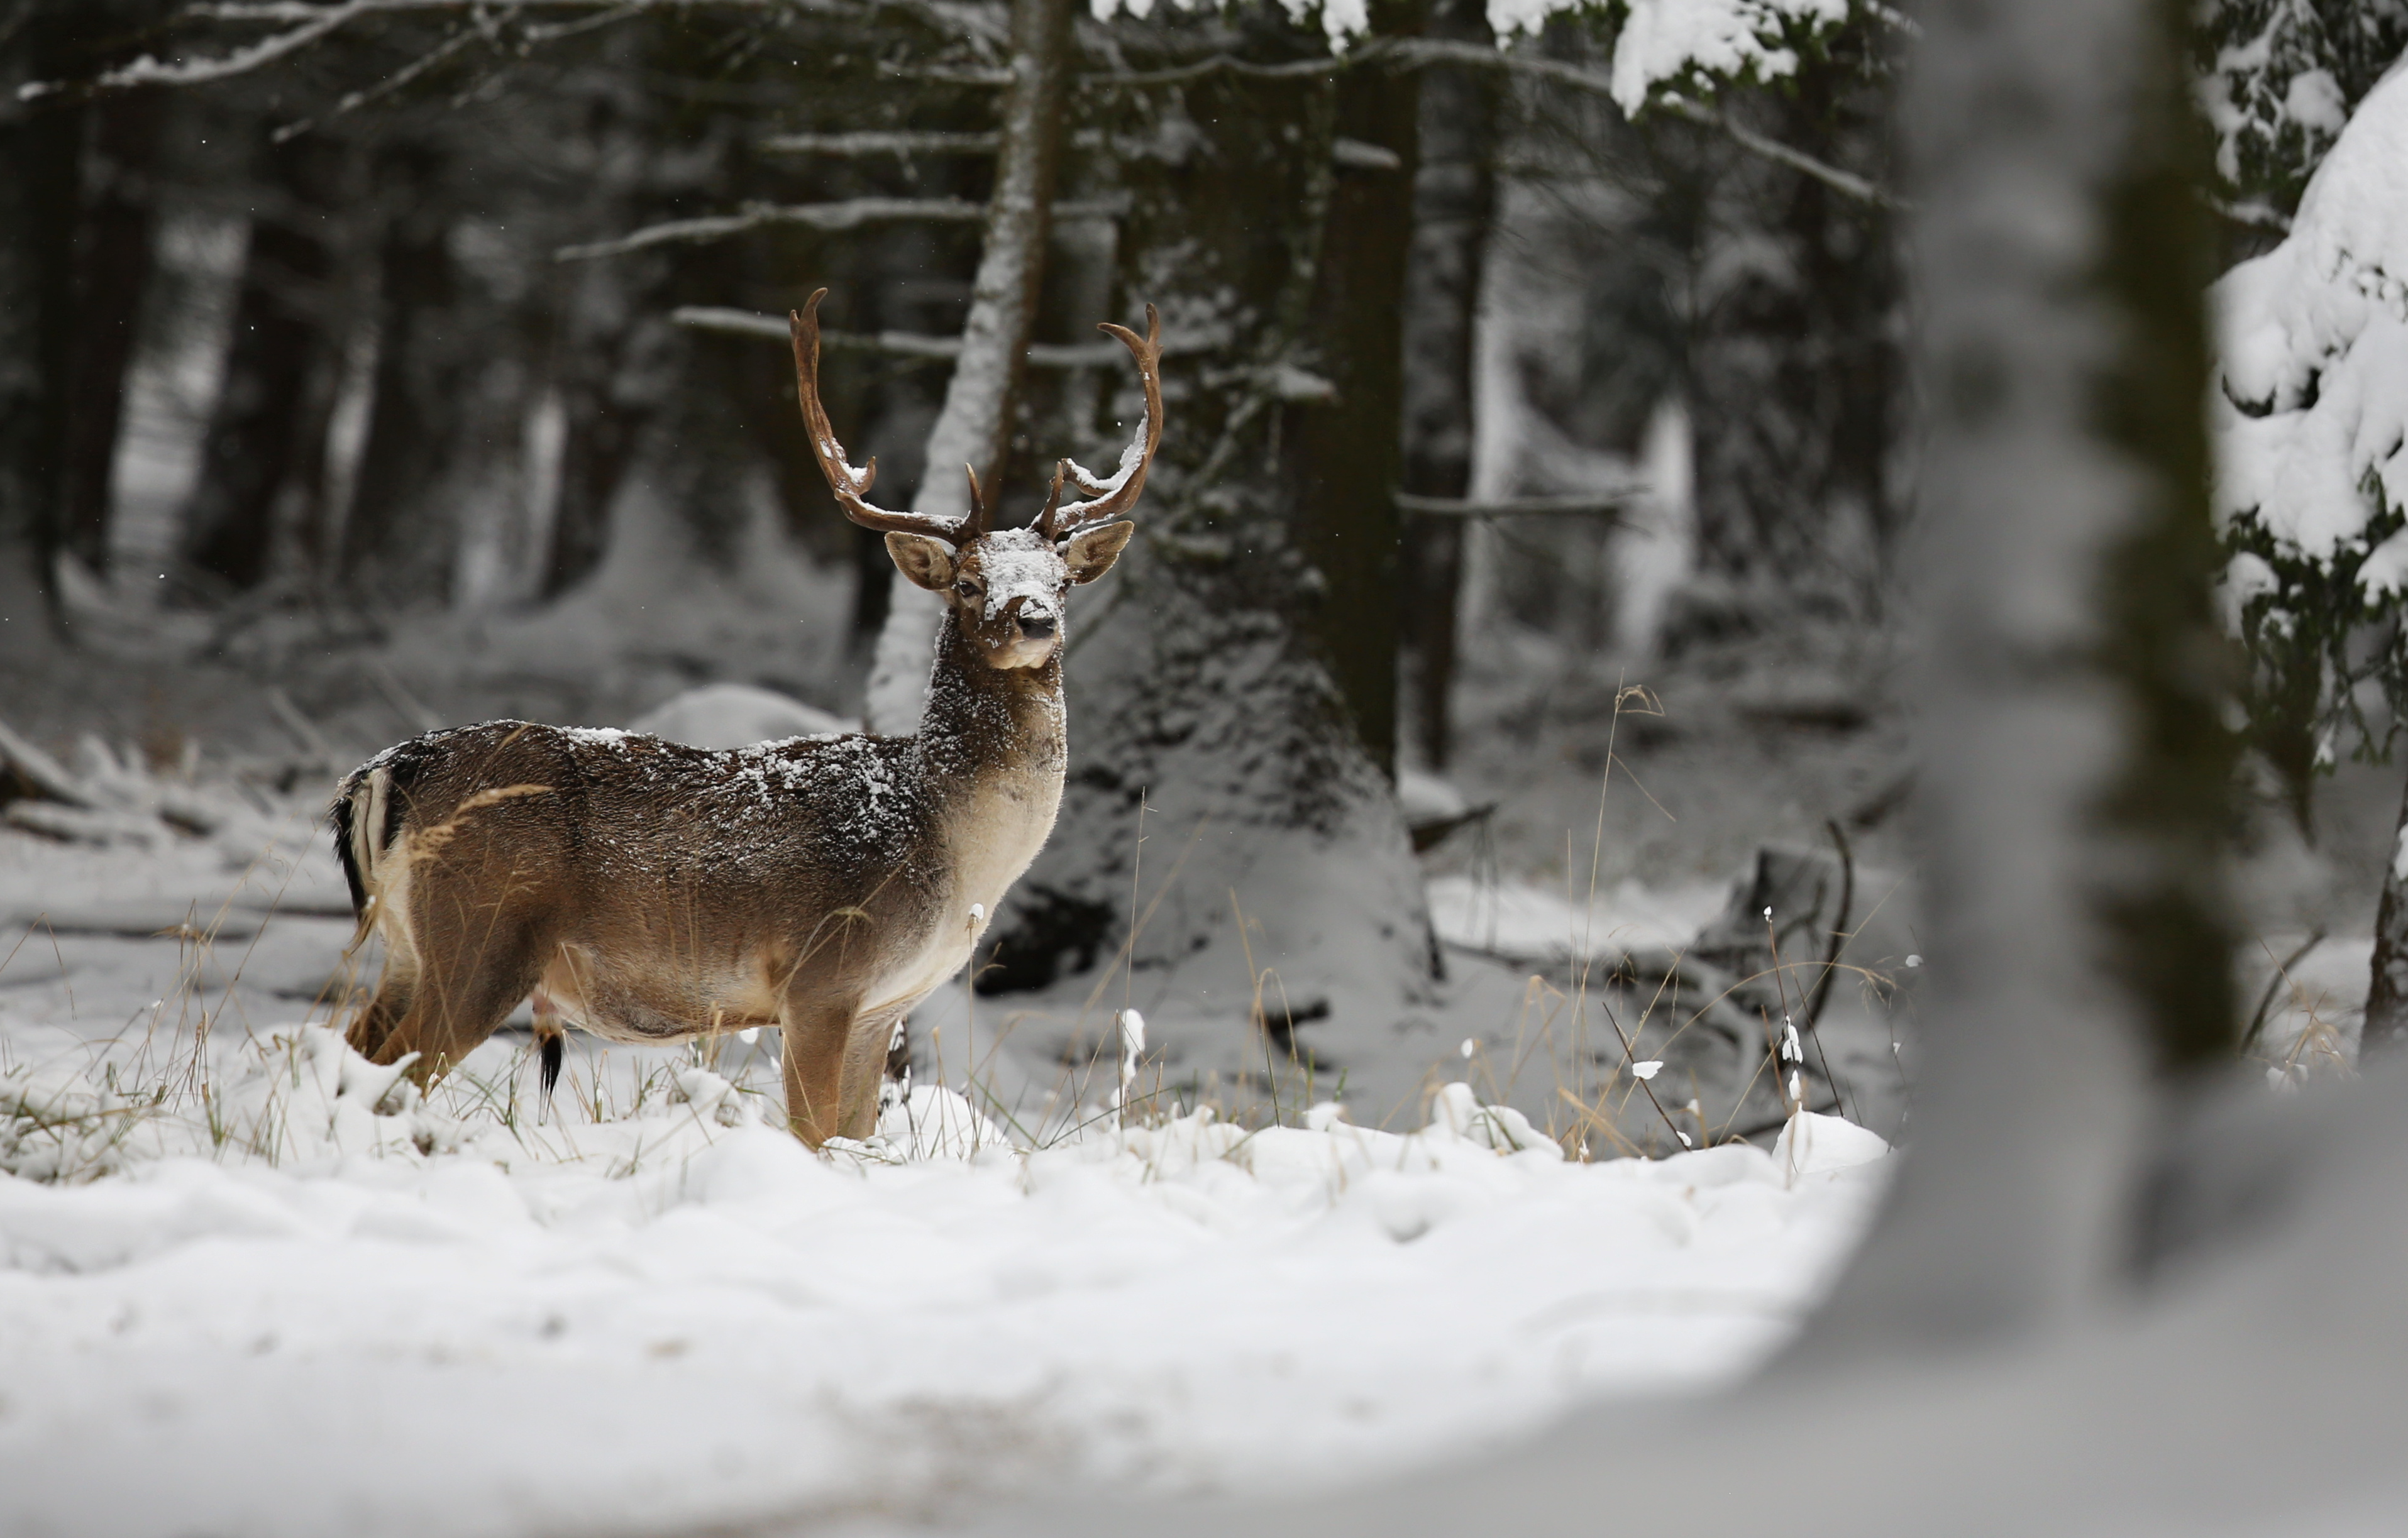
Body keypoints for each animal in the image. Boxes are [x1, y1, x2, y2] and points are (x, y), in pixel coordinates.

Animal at [332, 288, 1165, 1150]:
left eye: (1061, 579)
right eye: (968, 582)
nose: (1034, 618)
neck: (949, 845)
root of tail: (386, 769)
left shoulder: (884, 1006)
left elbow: (854, 1135)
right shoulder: (820, 975)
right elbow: (812, 1135)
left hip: (409, 948)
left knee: (349, 1058)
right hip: (480, 935)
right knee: (392, 1076)